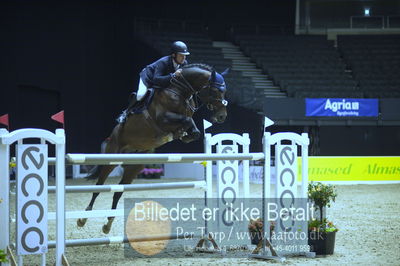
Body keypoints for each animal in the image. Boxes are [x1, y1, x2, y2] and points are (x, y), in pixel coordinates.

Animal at [77, 63, 228, 234]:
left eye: (224, 91)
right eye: (215, 90)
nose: (222, 116)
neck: (181, 91)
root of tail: (110, 137)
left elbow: (192, 127)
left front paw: (185, 135)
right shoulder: (163, 118)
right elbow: (186, 120)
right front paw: (178, 133)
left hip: (134, 167)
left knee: (118, 192)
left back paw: (107, 225)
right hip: (111, 159)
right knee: (98, 187)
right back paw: (83, 218)